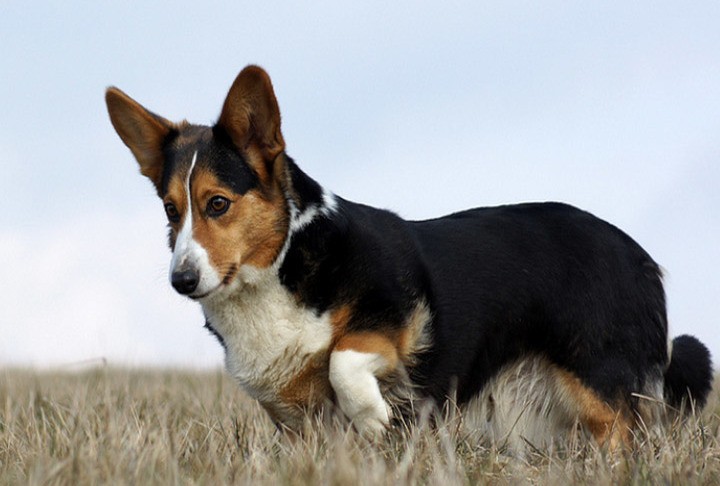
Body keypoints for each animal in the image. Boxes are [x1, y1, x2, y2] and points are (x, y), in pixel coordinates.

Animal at [104, 64, 712, 448]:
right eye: (170, 210)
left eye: (217, 203)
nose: (182, 280)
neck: (280, 266)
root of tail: (642, 258)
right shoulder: (292, 412)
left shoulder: (397, 318)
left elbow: (344, 358)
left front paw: (373, 418)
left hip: (599, 383)